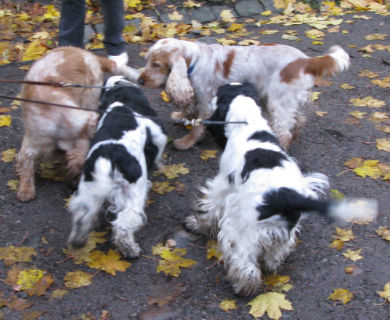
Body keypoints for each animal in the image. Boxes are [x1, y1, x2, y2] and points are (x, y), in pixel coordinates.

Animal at [16, 46, 139, 201]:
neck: (59, 121)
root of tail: (90, 55)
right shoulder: (33, 142)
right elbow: (26, 163)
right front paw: (26, 190)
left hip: (90, 96)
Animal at [68, 76, 166, 258]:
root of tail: (108, 155)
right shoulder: (158, 133)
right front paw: (160, 164)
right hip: (134, 191)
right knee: (123, 223)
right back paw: (129, 248)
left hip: (89, 189)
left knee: (82, 214)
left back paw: (78, 239)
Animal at [138, 38, 350, 151]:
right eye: (146, 61)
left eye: (156, 65)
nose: (140, 81)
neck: (194, 61)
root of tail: (306, 61)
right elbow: (189, 110)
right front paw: (180, 116)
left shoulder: (207, 103)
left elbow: (198, 126)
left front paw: (185, 142)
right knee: (298, 121)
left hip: (277, 100)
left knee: (284, 132)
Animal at [186, 82, 378, 296]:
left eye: (219, 93)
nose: (210, 98)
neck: (250, 125)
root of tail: (288, 198)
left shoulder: (223, 184)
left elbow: (209, 206)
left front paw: (195, 224)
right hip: (281, 231)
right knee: (276, 252)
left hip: (243, 230)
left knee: (246, 263)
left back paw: (243, 286)